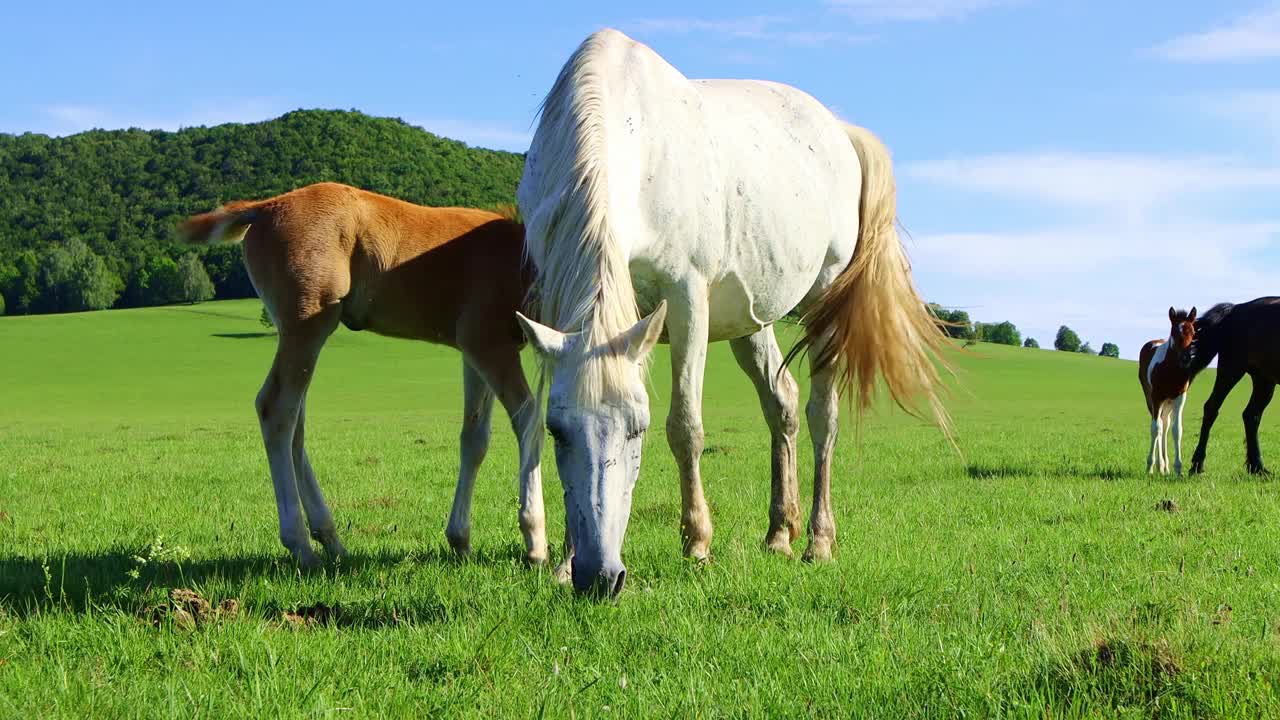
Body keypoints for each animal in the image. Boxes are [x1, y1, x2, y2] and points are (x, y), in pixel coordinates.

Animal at [512, 28, 952, 594]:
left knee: (822, 416)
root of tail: (840, 131)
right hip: (751, 320)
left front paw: (698, 544)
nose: (600, 575)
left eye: (637, 429)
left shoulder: (686, 299)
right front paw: (563, 561)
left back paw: (817, 541)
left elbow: (686, 427)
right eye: (558, 431)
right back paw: (779, 534)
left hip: (824, 301)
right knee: (782, 404)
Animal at [1146, 304, 1192, 474]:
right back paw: (1159, 466)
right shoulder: (1156, 397)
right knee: (1159, 425)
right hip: (1152, 399)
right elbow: (1155, 428)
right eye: (1175, 332)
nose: (1186, 358)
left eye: (1193, 332)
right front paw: (1150, 466)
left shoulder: (1180, 398)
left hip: (1169, 403)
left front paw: (1178, 468)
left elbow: (1176, 430)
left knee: (1165, 425)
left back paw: (1164, 467)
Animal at [1177, 294, 1280, 474]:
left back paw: (1258, 468)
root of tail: (1235, 308)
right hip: (1231, 369)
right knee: (1211, 408)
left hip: (1264, 380)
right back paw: (1197, 465)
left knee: (1251, 415)